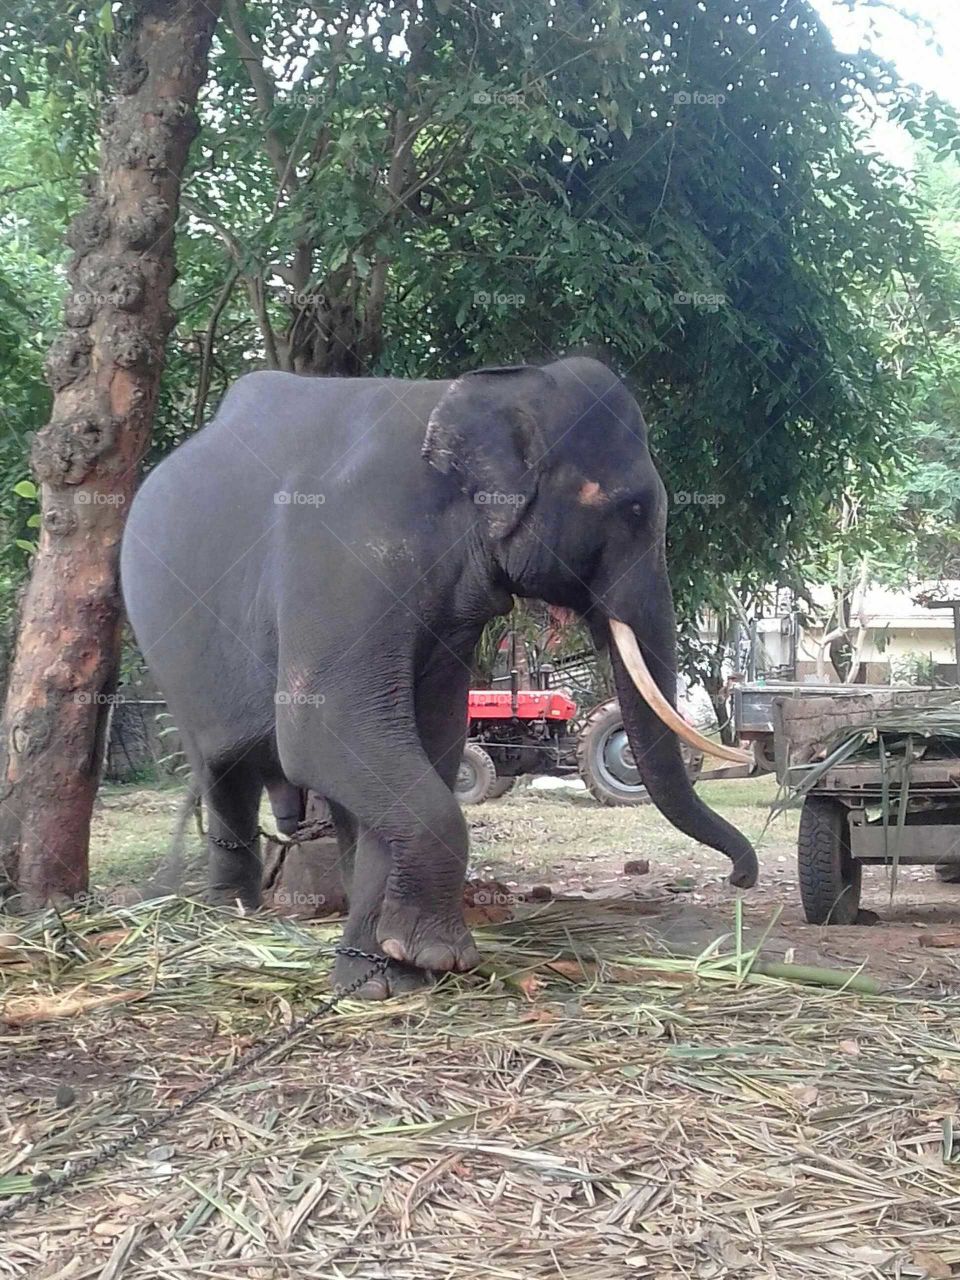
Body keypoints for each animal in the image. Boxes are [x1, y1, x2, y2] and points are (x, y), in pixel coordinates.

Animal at [120, 356, 757, 997]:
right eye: (633, 510)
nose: (739, 880)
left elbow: (428, 740)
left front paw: (386, 976)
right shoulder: (344, 553)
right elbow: (326, 730)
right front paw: (430, 958)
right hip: (168, 653)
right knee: (221, 769)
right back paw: (230, 914)